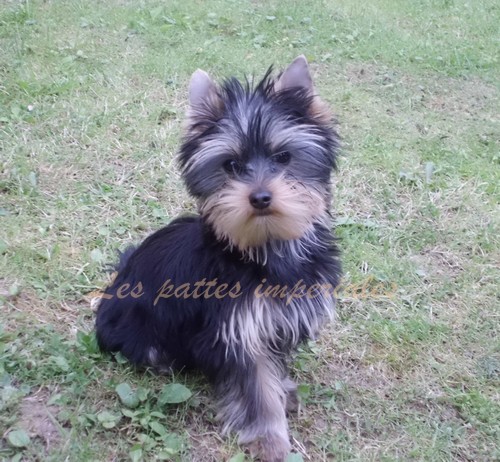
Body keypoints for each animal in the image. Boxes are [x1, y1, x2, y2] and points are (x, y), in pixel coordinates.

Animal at [95, 55, 341, 462]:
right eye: (230, 165)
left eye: (283, 158)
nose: (260, 197)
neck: (264, 247)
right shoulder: (236, 330)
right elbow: (257, 385)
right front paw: (270, 439)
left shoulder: (275, 321)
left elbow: (273, 365)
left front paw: (285, 390)